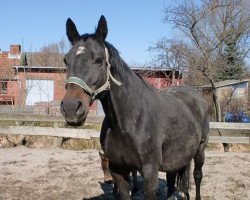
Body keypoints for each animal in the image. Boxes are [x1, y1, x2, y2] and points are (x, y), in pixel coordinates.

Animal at [61, 15, 209, 200]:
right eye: (66, 60)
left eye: (99, 59)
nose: (71, 108)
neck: (129, 123)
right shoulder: (118, 170)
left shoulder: (150, 172)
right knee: (171, 179)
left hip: (200, 149)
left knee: (197, 176)